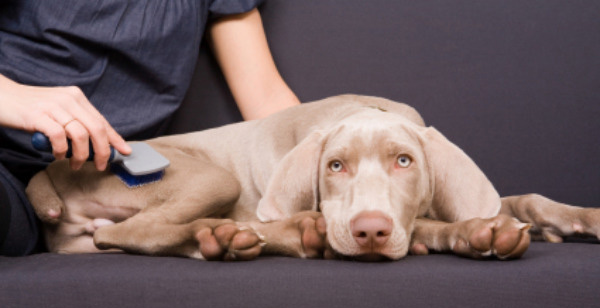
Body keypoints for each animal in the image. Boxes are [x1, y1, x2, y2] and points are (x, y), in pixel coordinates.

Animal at [25, 95, 596, 262]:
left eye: (405, 161)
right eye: (334, 166)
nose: (370, 232)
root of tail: (53, 169)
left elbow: (525, 199)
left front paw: (579, 219)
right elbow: (433, 227)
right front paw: (478, 233)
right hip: (212, 178)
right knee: (131, 231)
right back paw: (239, 235)